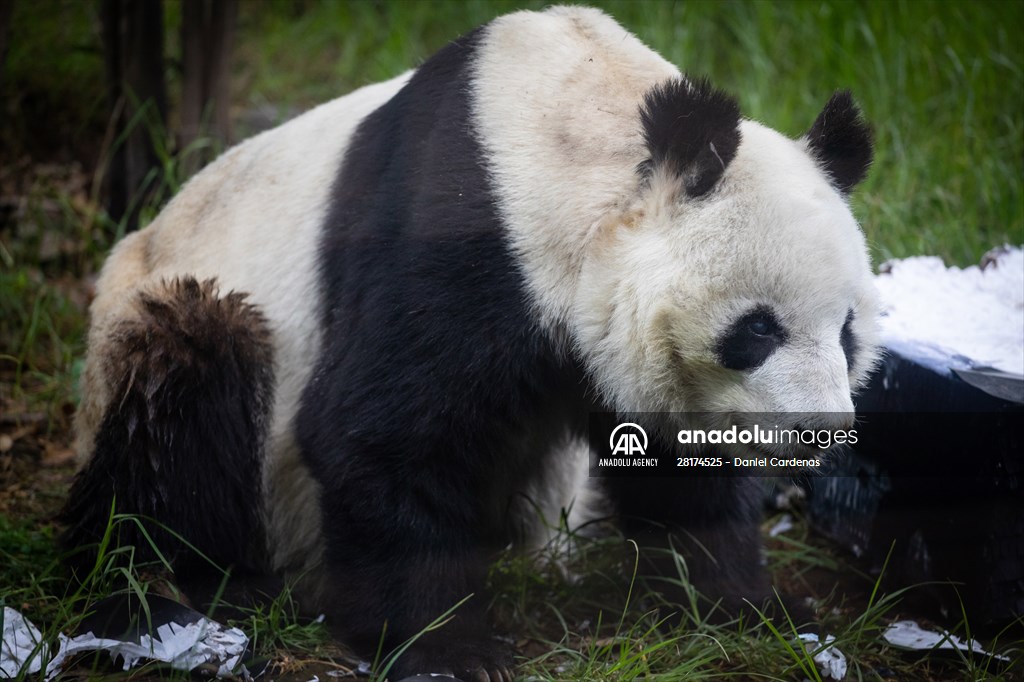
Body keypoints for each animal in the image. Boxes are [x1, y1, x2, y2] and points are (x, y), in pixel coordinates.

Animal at [61, 6, 880, 679]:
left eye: (846, 331)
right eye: (758, 329)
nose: (822, 434)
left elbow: (681, 473)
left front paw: (761, 613)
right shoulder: (463, 238)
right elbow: (380, 434)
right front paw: (450, 649)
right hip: (171, 331)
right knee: (179, 393)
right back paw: (180, 590)